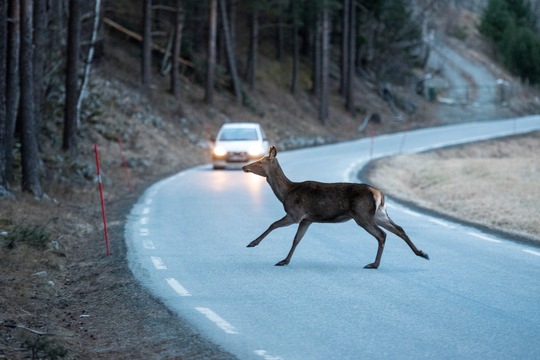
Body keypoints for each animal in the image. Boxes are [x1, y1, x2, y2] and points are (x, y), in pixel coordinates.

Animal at [243, 146, 428, 268]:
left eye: (260, 162)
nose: (245, 166)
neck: (286, 193)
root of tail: (379, 194)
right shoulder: (307, 219)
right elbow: (297, 239)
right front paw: (285, 260)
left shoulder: (295, 214)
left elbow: (273, 225)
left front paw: (252, 243)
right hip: (379, 214)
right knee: (399, 229)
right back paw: (422, 253)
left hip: (363, 214)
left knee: (382, 234)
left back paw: (374, 264)